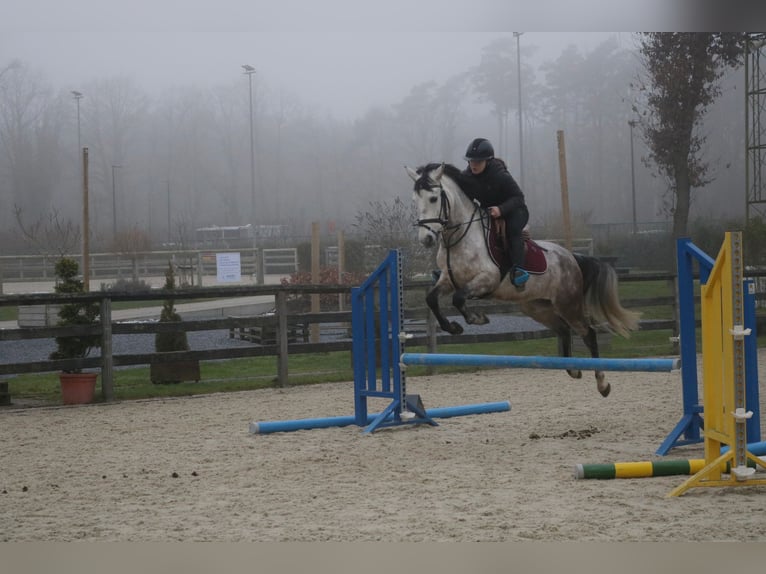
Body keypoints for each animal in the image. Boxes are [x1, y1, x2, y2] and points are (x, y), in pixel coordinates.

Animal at [408, 162, 640, 396]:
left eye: (434, 198)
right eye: (415, 200)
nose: (426, 239)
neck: (460, 238)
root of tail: (572, 257)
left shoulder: (487, 279)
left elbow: (458, 298)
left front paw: (478, 318)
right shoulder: (448, 280)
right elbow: (432, 299)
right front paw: (454, 327)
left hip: (568, 304)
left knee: (588, 333)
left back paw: (602, 383)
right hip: (536, 307)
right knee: (563, 329)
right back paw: (573, 369)